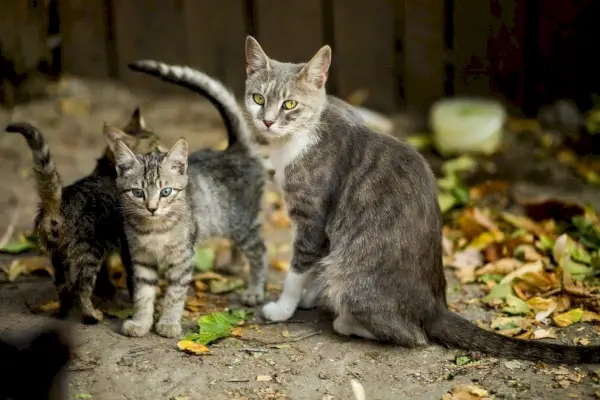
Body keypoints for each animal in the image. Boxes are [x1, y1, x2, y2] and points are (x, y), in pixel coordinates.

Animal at [5, 110, 166, 324]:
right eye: (155, 149)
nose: (168, 151)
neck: (107, 169)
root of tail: (58, 204)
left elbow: (107, 272)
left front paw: (107, 290)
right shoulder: (128, 245)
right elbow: (135, 280)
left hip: (58, 255)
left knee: (63, 287)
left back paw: (63, 313)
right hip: (89, 250)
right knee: (81, 287)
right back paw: (92, 315)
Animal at [243, 36, 600, 364]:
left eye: (290, 105)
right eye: (258, 98)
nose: (267, 121)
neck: (297, 140)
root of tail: (435, 306)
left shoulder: (313, 216)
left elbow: (299, 265)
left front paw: (284, 306)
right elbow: (316, 262)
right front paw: (308, 294)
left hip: (353, 280)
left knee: (412, 335)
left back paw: (347, 322)